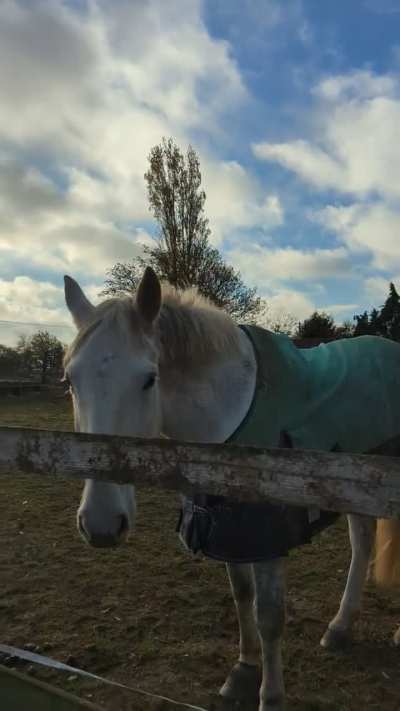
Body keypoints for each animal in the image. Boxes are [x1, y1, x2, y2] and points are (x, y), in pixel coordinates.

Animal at [63, 266, 400, 711]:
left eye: (149, 379)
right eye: (70, 380)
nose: (101, 525)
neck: (229, 424)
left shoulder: (266, 536)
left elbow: (269, 615)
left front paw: (271, 696)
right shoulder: (228, 530)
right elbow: (242, 596)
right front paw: (243, 669)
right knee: (362, 544)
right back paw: (340, 627)